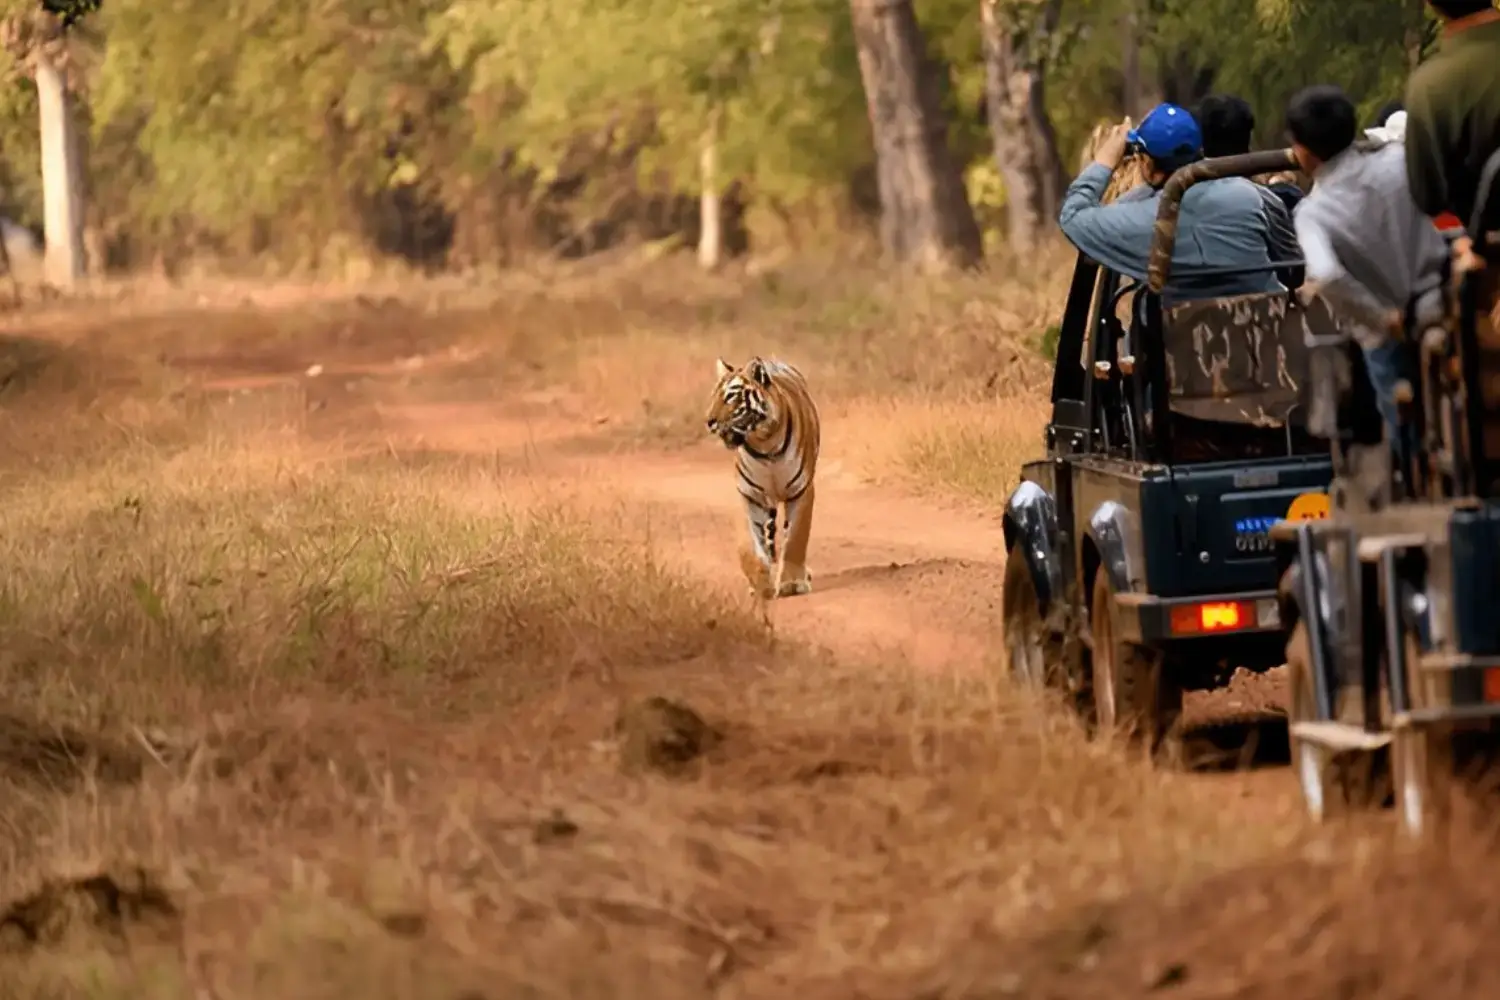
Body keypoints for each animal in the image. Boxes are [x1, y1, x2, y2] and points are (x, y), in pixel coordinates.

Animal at [704, 356, 821, 601]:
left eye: (731, 396)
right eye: (714, 396)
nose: (709, 421)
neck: (765, 443)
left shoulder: (802, 490)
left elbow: (796, 538)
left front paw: (792, 583)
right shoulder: (751, 495)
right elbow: (752, 544)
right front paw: (760, 585)